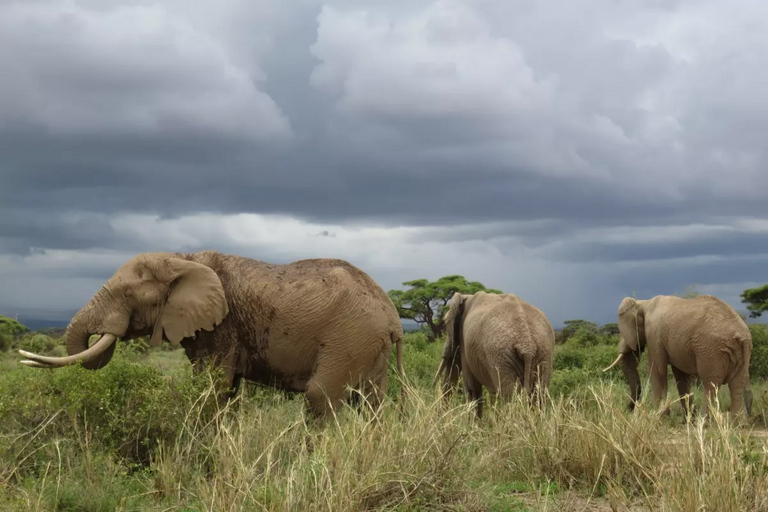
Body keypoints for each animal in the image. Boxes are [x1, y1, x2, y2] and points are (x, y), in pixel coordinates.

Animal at [16, 249, 408, 424]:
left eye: (127, 294)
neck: (182, 258)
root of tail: (393, 317)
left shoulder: (221, 326)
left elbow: (212, 386)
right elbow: (227, 390)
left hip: (350, 336)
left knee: (320, 396)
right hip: (370, 345)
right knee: (371, 403)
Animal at [436, 290, 556, 418]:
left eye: (445, 322)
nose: (442, 417)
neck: (466, 296)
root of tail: (527, 345)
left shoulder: (464, 341)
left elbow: (471, 388)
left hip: (501, 356)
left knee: (510, 397)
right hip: (543, 354)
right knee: (539, 395)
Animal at [604, 294, 752, 418]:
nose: (626, 410)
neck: (644, 303)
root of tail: (742, 335)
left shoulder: (654, 333)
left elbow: (657, 370)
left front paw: (661, 417)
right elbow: (681, 377)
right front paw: (688, 417)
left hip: (711, 350)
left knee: (711, 384)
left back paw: (703, 421)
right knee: (737, 385)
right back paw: (734, 422)